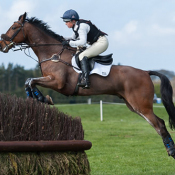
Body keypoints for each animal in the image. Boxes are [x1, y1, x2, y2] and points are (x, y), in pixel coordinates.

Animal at [0, 12, 175, 159]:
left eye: (14, 28)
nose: (2, 44)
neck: (53, 53)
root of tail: (145, 72)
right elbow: (29, 81)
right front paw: (40, 98)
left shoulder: (57, 82)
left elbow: (31, 80)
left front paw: (42, 98)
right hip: (133, 106)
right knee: (158, 124)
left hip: (141, 105)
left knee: (159, 124)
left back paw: (171, 151)